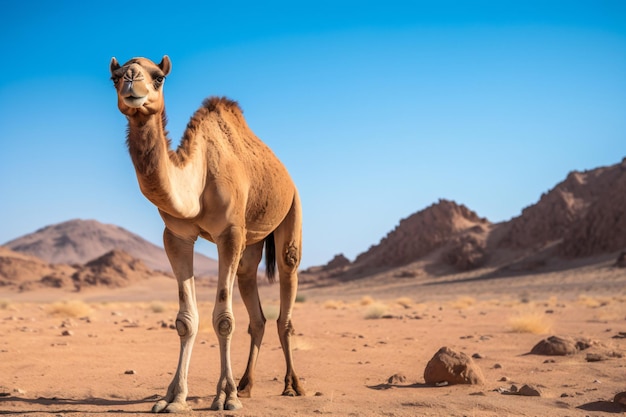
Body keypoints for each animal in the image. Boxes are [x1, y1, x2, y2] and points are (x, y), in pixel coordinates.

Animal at [109, 57, 304, 412]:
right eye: (114, 77)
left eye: (158, 78)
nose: (131, 79)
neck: (198, 182)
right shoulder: (175, 236)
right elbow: (186, 320)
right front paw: (172, 398)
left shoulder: (229, 233)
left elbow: (224, 318)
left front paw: (225, 397)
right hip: (250, 243)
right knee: (254, 303)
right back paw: (247, 385)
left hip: (291, 208)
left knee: (286, 286)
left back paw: (291, 385)